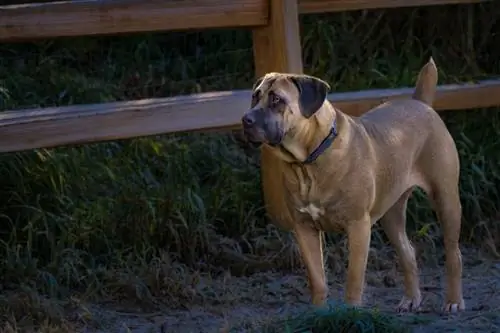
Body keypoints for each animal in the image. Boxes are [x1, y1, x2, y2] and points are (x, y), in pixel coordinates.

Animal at [238, 58, 464, 312]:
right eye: (255, 96)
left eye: (277, 99)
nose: (246, 119)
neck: (308, 161)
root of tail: (420, 103)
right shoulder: (304, 227)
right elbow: (317, 278)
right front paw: (317, 313)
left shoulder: (357, 225)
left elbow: (354, 278)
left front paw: (351, 312)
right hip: (392, 214)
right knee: (408, 252)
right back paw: (411, 299)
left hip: (446, 199)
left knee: (453, 253)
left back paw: (454, 301)